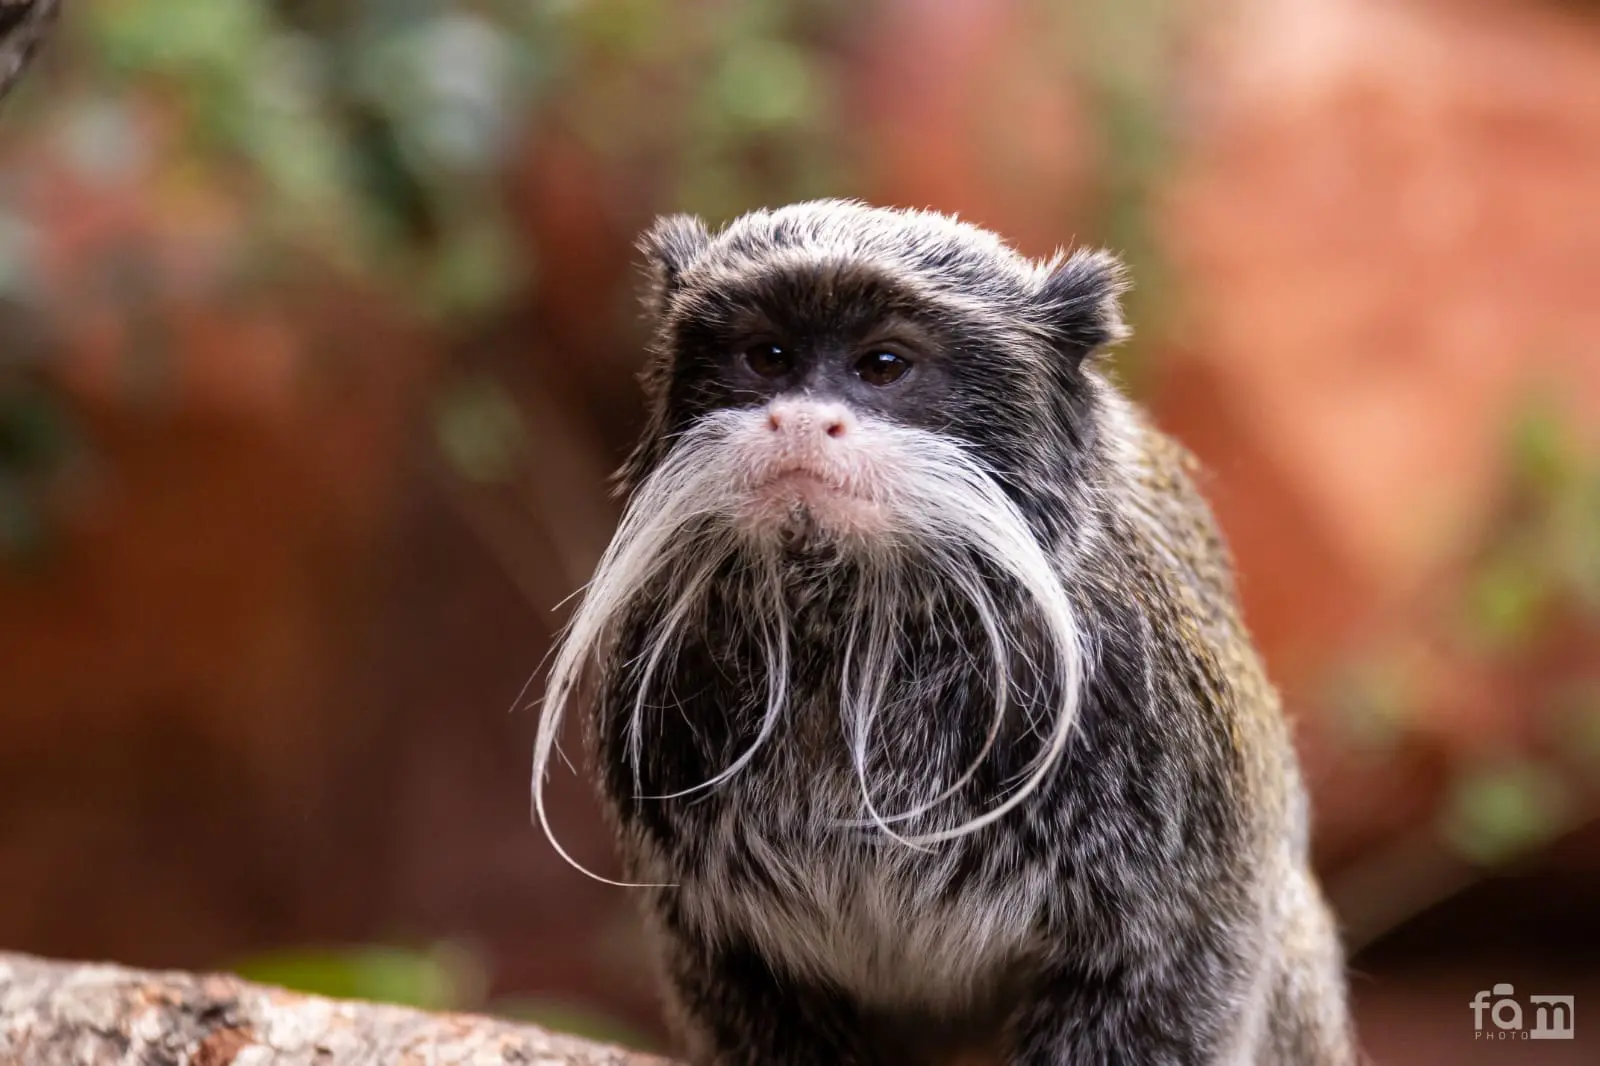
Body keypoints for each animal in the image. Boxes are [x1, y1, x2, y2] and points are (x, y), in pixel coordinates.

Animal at [533, 200, 1358, 1065]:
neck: (857, 644)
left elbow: (1177, 961)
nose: (800, 421)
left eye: (883, 365)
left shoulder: (1157, 736)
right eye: (768, 357)